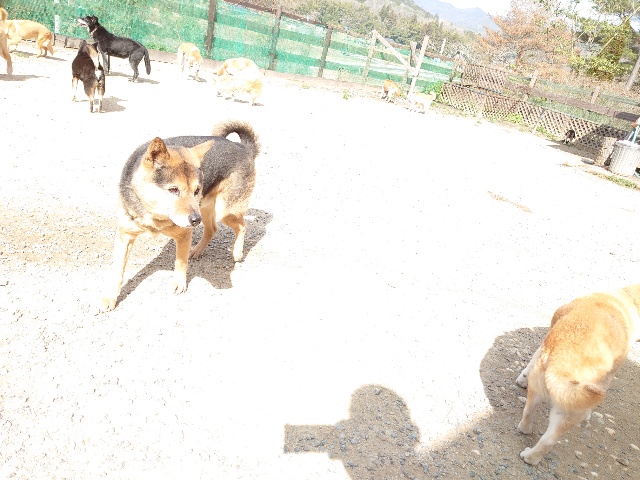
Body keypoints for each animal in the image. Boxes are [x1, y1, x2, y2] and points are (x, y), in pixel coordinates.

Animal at [98, 120, 261, 313]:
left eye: (196, 190)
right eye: (173, 190)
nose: (195, 220)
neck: (154, 214)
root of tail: (243, 148)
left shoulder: (184, 234)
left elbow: (180, 262)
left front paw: (179, 283)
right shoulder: (125, 236)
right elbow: (117, 271)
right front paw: (110, 297)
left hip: (223, 211)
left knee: (242, 226)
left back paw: (237, 252)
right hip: (205, 209)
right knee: (212, 229)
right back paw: (197, 250)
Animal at [516, 284, 640, 465]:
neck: (626, 298)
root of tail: (561, 366)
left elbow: (532, 360)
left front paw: (522, 379)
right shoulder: (608, 376)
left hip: (544, 396)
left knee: (535, 423)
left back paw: (527, 446)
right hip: (571, 409)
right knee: (549, 438)